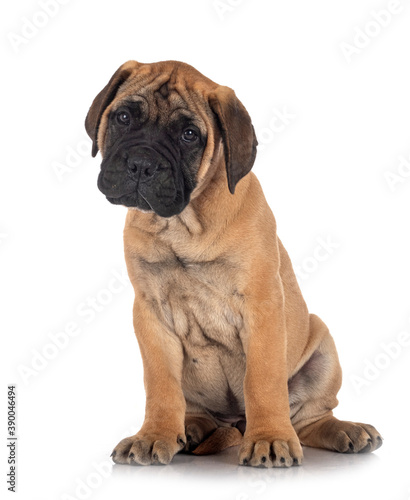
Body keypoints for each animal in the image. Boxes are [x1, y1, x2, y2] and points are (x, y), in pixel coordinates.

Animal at [85, 60, 382, 466]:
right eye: (124, 117)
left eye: (190, 135)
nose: (141, 164)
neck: (182, 223)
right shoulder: (151, 313)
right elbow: (160, 384)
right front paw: (154, 435)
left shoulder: (262, 306)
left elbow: (263, 380)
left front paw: (269, 438)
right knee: (197, 411)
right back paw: (191, 432)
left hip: (322, 347)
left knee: (310, 419)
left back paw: (344, 431)